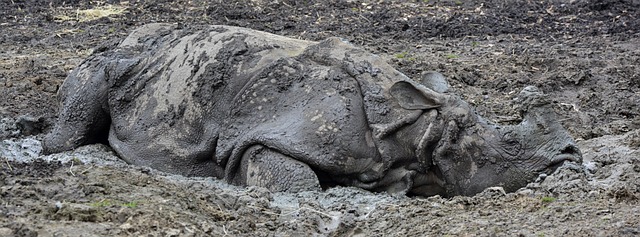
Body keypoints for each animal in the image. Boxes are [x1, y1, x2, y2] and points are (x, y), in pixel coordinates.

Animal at [42, 23, 584, 197]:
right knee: (94, 84)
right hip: (122, 59)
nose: (570, 155)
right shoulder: (264, 135)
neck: (415, 128)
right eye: (509, 143)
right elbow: (294, 179)